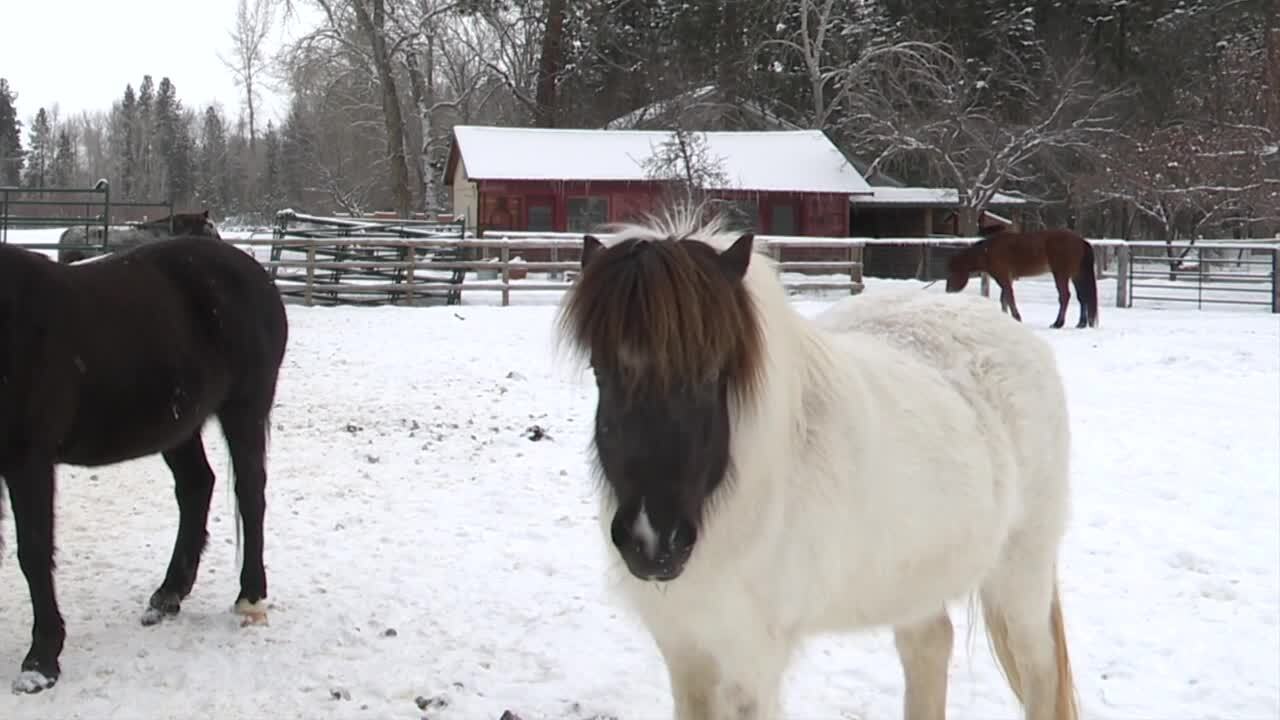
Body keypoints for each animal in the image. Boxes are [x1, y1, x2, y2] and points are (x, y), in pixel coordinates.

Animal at [0, 234, 288, 694]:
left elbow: (34, 552)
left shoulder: (29, 460)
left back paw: (250, 599)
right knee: (196, 486)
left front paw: (41, 662)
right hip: (178, 425)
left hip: (244, 409)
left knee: (250, 495)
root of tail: (254, 271)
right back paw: (169, 594)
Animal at [555, 206, 1079, 720]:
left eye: (712, 373)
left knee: (1040, 671)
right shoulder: (686, 652)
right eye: (600, 370)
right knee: (929, 649)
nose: (651, 541)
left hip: (1021, 572)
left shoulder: (752, 663)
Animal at [945, 224, 1099, 329]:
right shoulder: (1008, 278)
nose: (948, 291)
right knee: (1082, 297)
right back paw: (1081, 323)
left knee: (1065, 296)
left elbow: (1009, 298)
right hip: (1075, 275)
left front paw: (1017, 318)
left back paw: (1058, 324)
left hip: (1061, 274)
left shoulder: (1003, 278)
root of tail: (1080, 241)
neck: (987, 251)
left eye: (952, 272)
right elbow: (1004, 299)